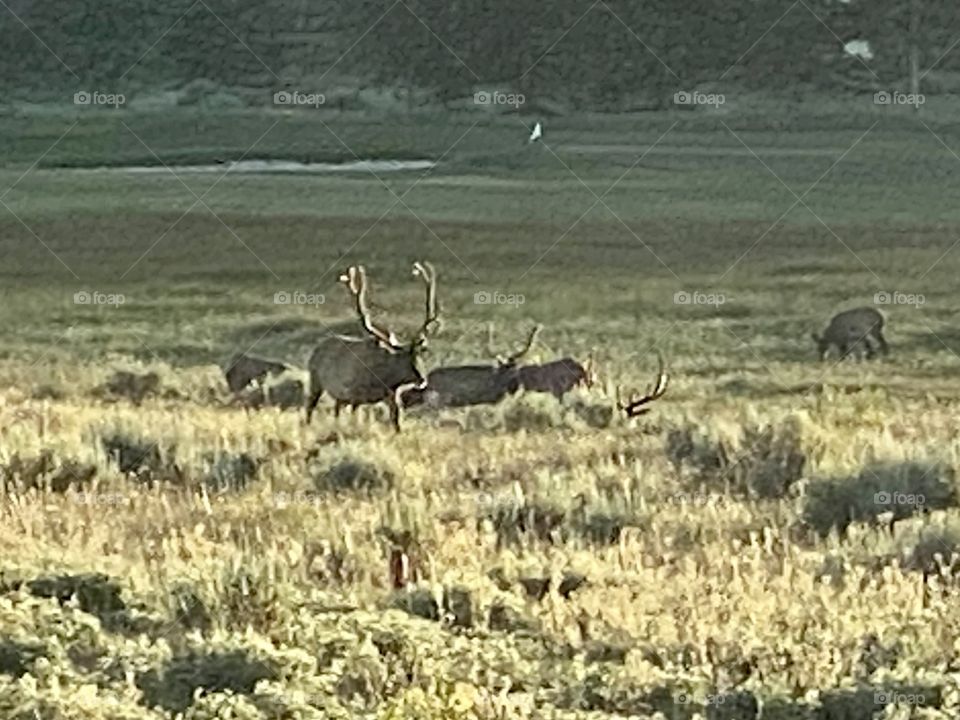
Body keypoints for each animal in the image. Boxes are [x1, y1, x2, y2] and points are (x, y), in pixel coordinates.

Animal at [304, 261, 439, 431]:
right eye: (405, 359)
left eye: (421, 353)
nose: (422, 379)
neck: (385, 378)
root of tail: (316, 350)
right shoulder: (354, 395)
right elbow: (355, 420)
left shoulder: (392, 396)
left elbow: (396, 423)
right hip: (316, 382)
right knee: (309, 408)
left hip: (338, 397)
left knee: (335, 410)